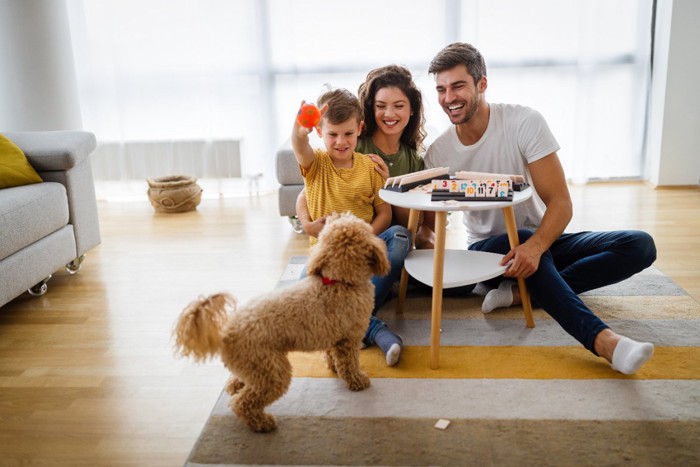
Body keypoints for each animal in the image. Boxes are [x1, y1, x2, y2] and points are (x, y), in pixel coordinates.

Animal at [170, 214, 388, 434]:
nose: (333, 214)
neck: (339, 282)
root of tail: (225, 332)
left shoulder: (334, 338)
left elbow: (332, 356)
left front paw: (333, 367)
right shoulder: (349, 339)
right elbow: (349, 364)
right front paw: (358, 381)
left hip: (252, 366)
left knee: (235, 383)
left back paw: (236, 388)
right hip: (271, 370)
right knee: (242, 403)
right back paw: (262, 423)